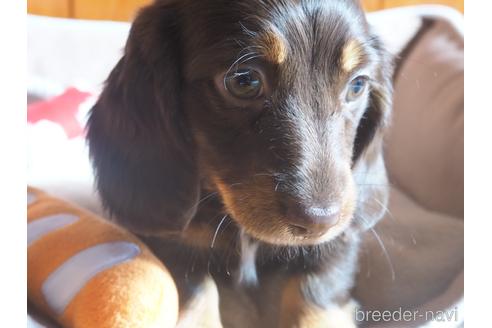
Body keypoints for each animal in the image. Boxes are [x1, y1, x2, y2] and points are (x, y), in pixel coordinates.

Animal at [85, 0, 392, 326]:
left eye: (357, 85)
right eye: (244, 81)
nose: (320, 221)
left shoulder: (335, 249)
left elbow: (315, 298)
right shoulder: (168, 245)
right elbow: (199, 293)